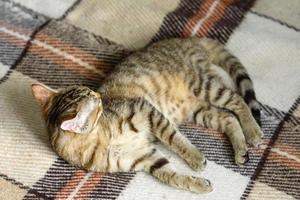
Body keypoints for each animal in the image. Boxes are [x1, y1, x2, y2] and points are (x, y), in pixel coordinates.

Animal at [31, 36, 264, 193]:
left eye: (90, 93)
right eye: (94, 101)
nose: (99, 94)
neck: (104, 140)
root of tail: (186, 39)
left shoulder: (147, 111)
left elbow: (176, 140)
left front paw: (195, 157)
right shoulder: (144, 158)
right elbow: (171, 176)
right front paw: (197, 184)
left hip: (202, 85)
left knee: (238, 100)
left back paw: (252, 131)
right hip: (197, 109)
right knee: (228, 117)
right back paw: (241, 150)